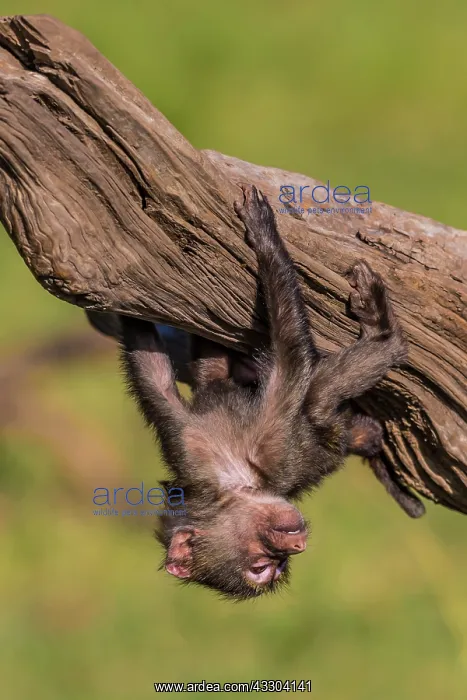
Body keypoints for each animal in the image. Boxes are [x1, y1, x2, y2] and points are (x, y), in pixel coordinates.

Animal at [89, 183, 424, 600]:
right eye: (264, 567)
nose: (297, 544)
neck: (230, 483)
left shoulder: (190, 442)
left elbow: (153, 371)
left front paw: (263, 234)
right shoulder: (248, 446)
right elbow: (291, 359)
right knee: (327, 392)